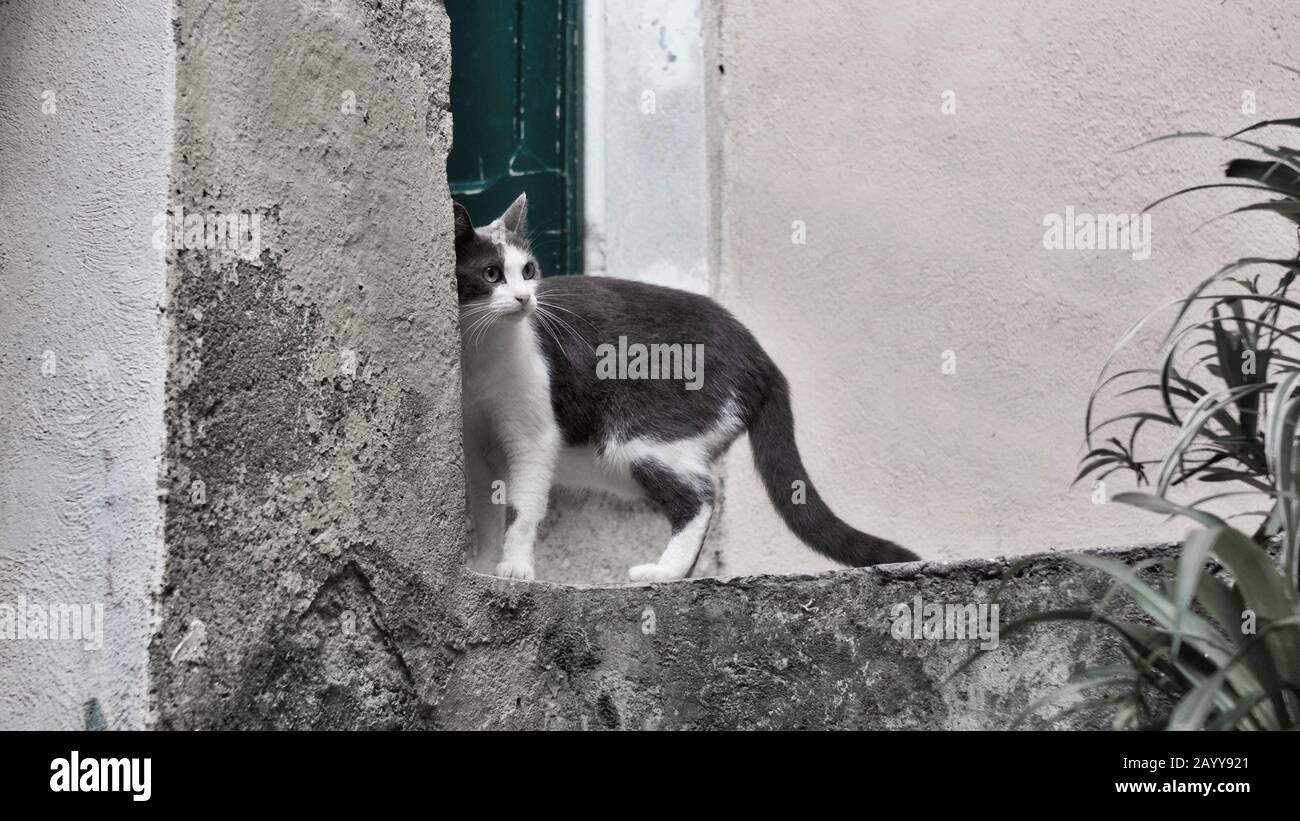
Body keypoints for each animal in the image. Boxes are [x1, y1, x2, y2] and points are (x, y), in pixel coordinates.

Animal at [452, 193, 920, 579]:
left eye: (528, 270)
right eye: (491, 273)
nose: (524, 298)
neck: (480, 354)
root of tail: (760, 355)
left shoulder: (533, 435)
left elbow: (522, 507)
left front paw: (514, 568)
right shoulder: (475, 446)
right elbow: (488, 511)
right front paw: (482, 567)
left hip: (642, 439)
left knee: (701, 496)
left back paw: (665, 572)